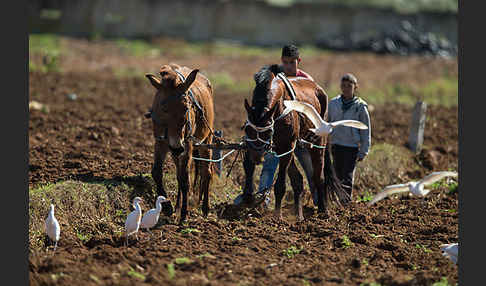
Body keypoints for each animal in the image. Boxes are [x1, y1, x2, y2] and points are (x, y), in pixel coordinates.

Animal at [144, 62, 213, 223]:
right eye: (163, 108)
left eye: (186, 108)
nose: (176, 147)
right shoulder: (160, 142)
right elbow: (157, 172)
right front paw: (168, 206)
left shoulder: (187, 145)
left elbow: (185, 179)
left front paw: (184, 214)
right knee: (179, 174)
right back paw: (176, 206)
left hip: (206, 141)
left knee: (206, 173)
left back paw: (205, 208)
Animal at [243, 65, 350, 221]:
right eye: (247, 129)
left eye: (268, 132)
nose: (257, 157)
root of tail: (318, 88)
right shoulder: (270, 147)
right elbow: (248, 164)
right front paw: (248, 196)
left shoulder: (286, 146)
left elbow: (280, 184)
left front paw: (277, 216)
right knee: (298, 179)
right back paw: (299, 215)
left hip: (317, 143)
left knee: (318, 177)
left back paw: (323, 210)